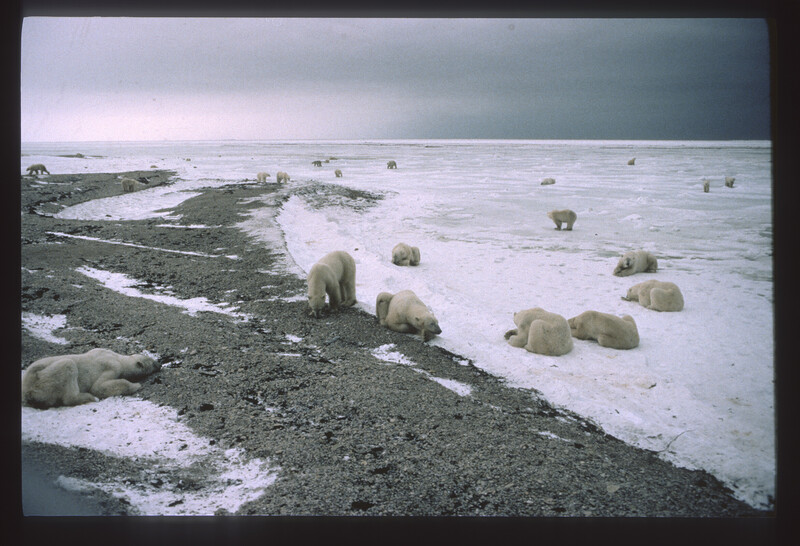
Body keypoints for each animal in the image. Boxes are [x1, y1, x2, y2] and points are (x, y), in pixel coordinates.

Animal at [21, 348, 161, 409]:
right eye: (152, 362)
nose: (159, 364)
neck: (118, 357)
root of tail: (27, 390)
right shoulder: (113, 366)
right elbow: (98, 387)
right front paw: (136, 386)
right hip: (43, 377)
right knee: (68, 365)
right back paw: (89, 398)